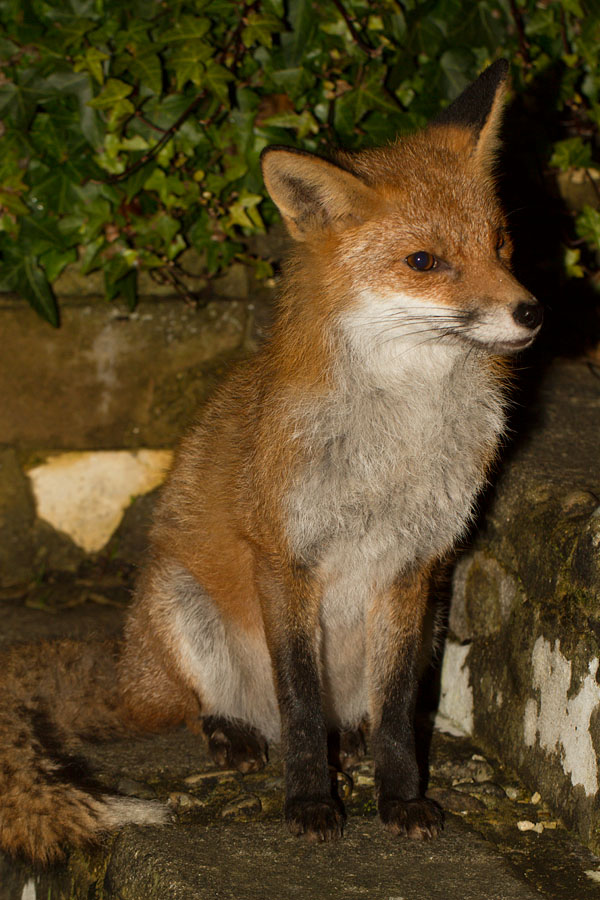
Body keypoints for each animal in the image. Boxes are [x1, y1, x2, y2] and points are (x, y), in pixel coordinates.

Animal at [0, 58, 543, 864]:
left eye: (502, 244)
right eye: (424, 262)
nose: (531, 312)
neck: (397, 439)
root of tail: (127, 674)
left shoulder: (414, 564)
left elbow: (394, 720)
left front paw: (400, 799)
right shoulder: (286, 559)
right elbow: (299, 706)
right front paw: (312, 803)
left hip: (433, 620)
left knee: (357, 713)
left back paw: (350, 741)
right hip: (182, 605)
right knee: (215, 710)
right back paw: (233, 736)